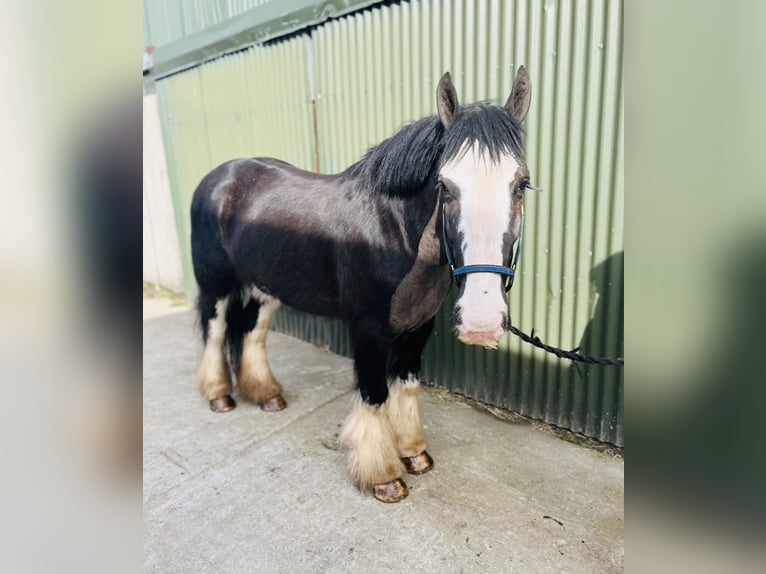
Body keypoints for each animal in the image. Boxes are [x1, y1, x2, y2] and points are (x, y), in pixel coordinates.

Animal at [190, 67, 532, 502]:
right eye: (444, 185)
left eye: (522, 183)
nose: (482, 321)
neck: (391, 231)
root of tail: (220, 176)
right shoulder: (368, 329)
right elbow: (374, 393)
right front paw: (383, 476)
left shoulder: (418, 327)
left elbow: (405, 385)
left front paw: (414, 454)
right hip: (215, 284)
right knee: (216, 331)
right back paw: (219, 396)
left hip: (264, 287)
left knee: (251, 332)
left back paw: (267, 396)